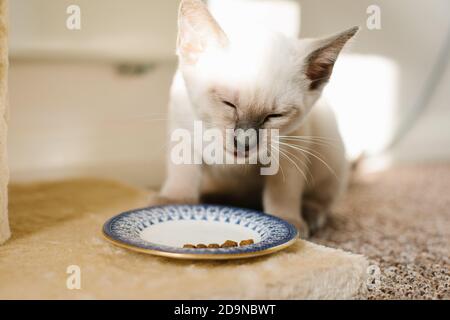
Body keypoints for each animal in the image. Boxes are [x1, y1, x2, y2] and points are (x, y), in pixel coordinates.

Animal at [151, 0, 358, 238]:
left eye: (274, 116)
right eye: (228, 103)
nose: (244, 143)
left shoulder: (290, 146)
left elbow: (283, 190)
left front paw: (287, 219)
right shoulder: (183, 131)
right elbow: (184, 173)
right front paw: (174, 203)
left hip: (329, 147)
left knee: (323, 198)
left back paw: (309, 214)